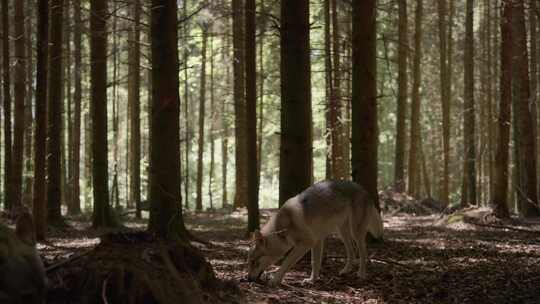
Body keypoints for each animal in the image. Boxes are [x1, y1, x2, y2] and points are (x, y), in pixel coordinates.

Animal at [247, 180, 382, 288]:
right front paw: (312, 280)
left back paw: (361, 274)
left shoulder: (306, 243)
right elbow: (314, 262)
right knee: (352, 251)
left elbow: (286, 263)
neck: (282, 228)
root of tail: (364, 190)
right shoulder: (317, 241)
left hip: (356, 233)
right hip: (342, 233)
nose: (247, 279)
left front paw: (275, 281)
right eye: (249, 262)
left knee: (363, 254)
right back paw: (345, 271)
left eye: (253, 262)